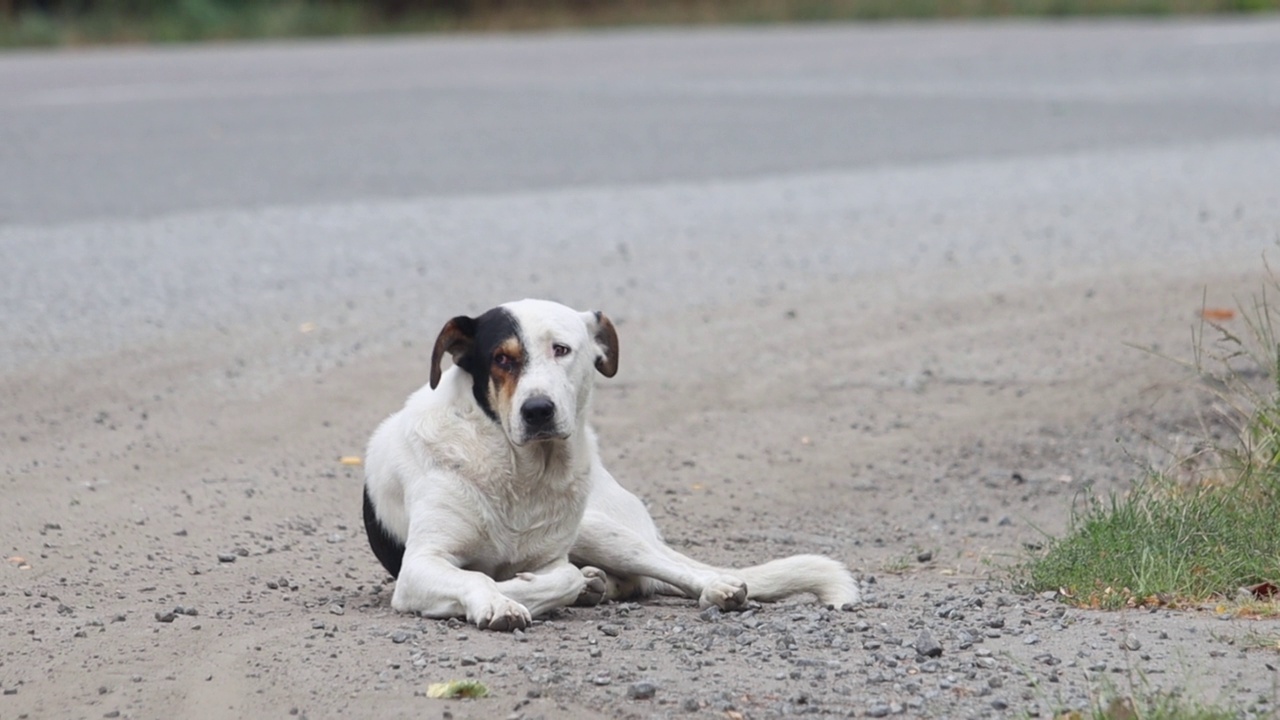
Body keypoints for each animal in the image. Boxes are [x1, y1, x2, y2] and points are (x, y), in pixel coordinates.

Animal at [360, 297, 860, 627]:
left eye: (562, 349)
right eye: (502, 358)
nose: (538, 411)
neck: (522, 472)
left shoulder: (551, 557)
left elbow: (557, 577)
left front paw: (531, 588)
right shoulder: (420, 566)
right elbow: (479, 578)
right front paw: (501, 600)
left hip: (600, 528)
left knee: (669, 568)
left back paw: (714, 585)